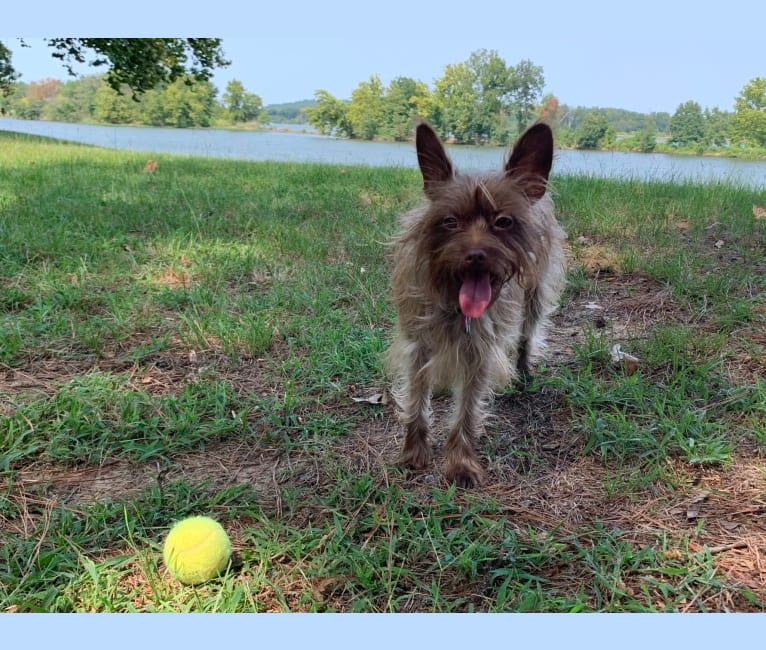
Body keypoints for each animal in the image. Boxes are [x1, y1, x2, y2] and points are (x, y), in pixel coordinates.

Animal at [388, 121, 568, 486]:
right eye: (450, 221)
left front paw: (460, 462)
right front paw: (414, 452)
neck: (454, 300)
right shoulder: (417, 346)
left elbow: (467, 411)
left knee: (527, 335)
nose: (475, 255)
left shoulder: (479, 352)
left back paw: (524, 373)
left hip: (535, 297)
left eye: (503, 221)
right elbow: (416, 400)